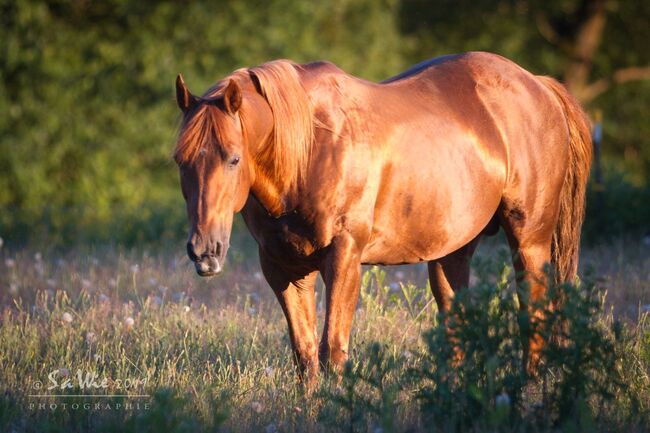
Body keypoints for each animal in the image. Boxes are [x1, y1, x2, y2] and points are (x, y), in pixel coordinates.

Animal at [175, 52, 588, 384]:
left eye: (233, 158)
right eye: (180, 160)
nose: (204, 251)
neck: (309, 151)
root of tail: (538, 85)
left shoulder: (343, 260)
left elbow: (332, 351)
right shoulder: (283, 269)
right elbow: (305, 355)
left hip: (530, 242)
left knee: (533, 318)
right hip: (451, 254)